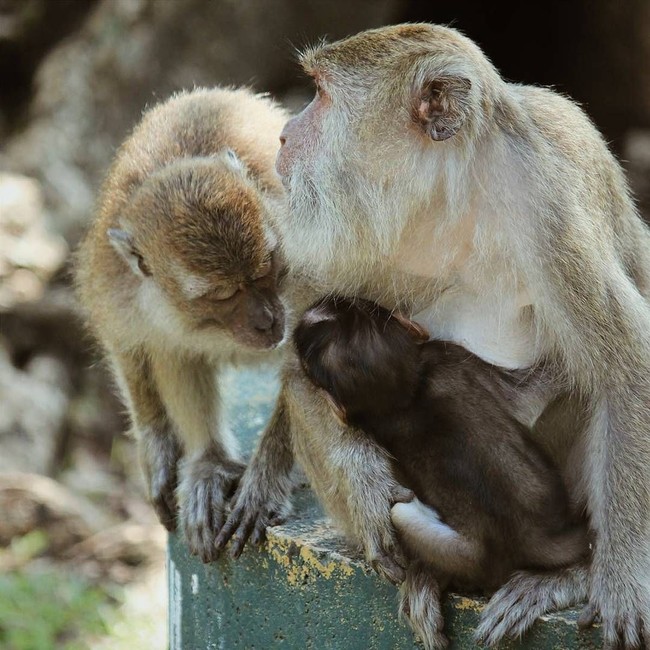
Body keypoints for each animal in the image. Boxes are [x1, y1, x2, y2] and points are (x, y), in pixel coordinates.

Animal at [74, 87, 290, 562]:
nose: (267, 320)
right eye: (222, 295)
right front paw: (181, 453)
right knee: (172, 352)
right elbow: (145, 348)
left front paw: (264, 484)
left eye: (268, 269)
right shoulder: (122, 288)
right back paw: (206, 460)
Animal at [294, 295, 589, 647]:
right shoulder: (452, 356)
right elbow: (532, 395)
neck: (401, 399)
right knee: (400, 513)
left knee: (400, 514)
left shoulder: (445, 359)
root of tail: (526, 543)